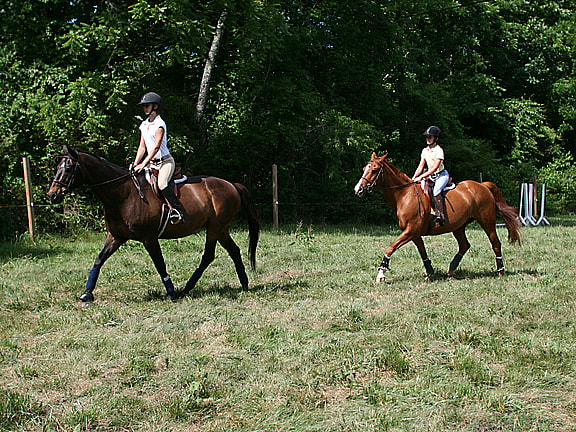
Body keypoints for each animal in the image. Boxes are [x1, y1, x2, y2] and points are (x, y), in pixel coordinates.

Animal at [48, 145, 260, 300]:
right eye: (57, 168)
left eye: (68, 168)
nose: (52, 195)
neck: (123, 194)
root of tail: (232, 185)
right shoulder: (116, 236)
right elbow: (99, 260)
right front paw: (87, 293)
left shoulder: (148, 238)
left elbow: (159, 264)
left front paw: (171, 292)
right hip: (221, 228)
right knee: (234, 251)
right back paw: (244, 284)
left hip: (215, 228)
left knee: (208, 256)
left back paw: (187, 288)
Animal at [354, 154, 520, 282]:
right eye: (364, 169)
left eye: (374, 170)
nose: (358, 189)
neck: (404, 195)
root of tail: (483, 185)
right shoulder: (414, 233)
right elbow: (423, 252)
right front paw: (430, 273)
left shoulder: (410, 231)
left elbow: (391, 247)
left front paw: (381, 274)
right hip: (458, 227)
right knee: (464, 245)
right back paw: (451, 271)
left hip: (487, 222)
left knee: (495, 243)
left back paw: (501, 271)